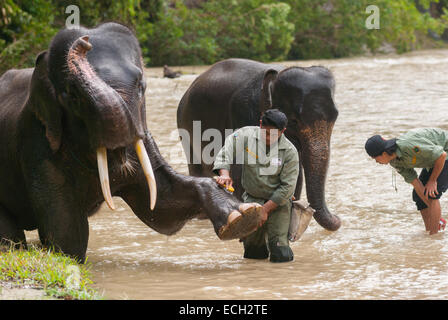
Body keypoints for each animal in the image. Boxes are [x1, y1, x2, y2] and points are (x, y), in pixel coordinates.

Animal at [0, 23, 262, 262]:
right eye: (71, 95)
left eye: (140, 85)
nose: (84, 40)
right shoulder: (38, 144)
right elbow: (67, 233)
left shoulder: (143, 135)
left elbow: (162, 206)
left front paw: (243, 216)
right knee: (11, 236)